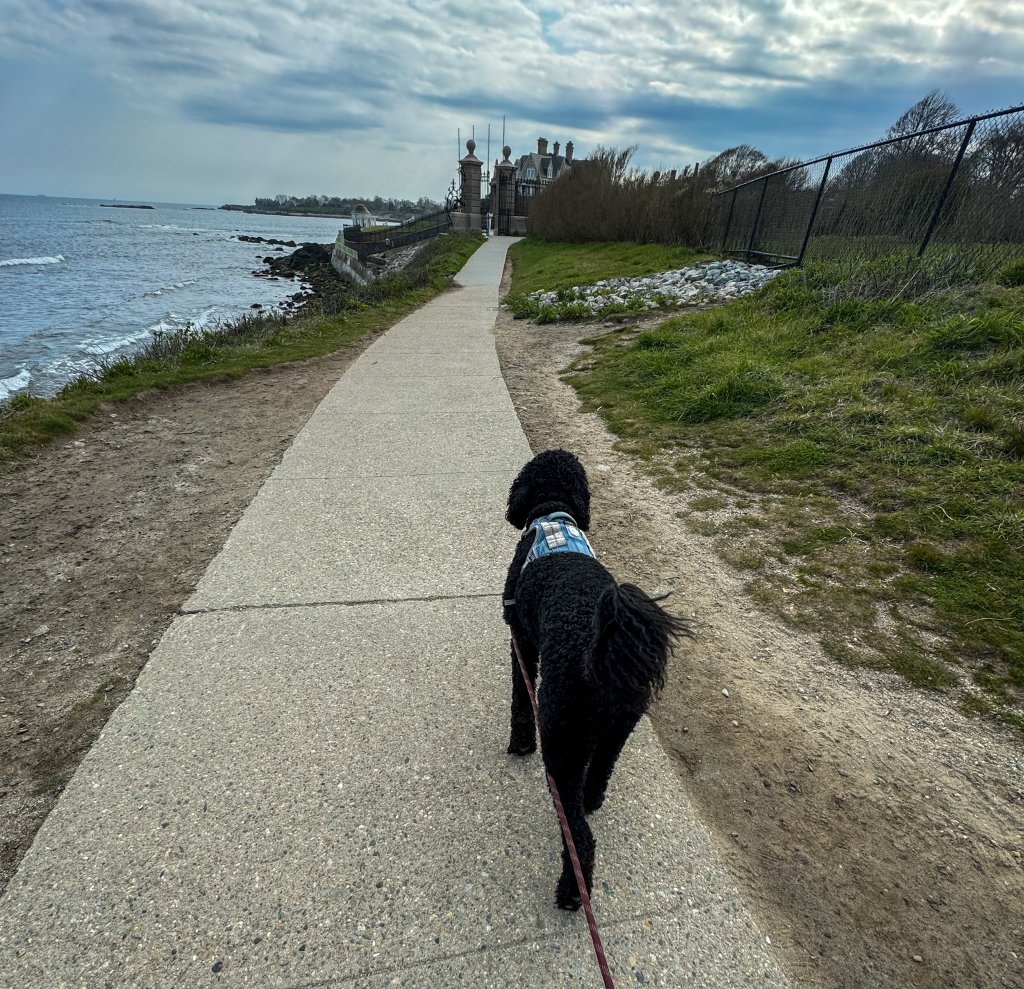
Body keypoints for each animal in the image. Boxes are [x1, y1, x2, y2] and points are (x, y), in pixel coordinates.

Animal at [501, 450, 692, 913]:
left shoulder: (521, 639)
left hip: (562, 737)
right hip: (618, 728)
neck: (553, 516)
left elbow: (519, 698)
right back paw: (592, 798)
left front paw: (520, 743)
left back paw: (572, 892)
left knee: (579, 837)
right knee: (602, 769)